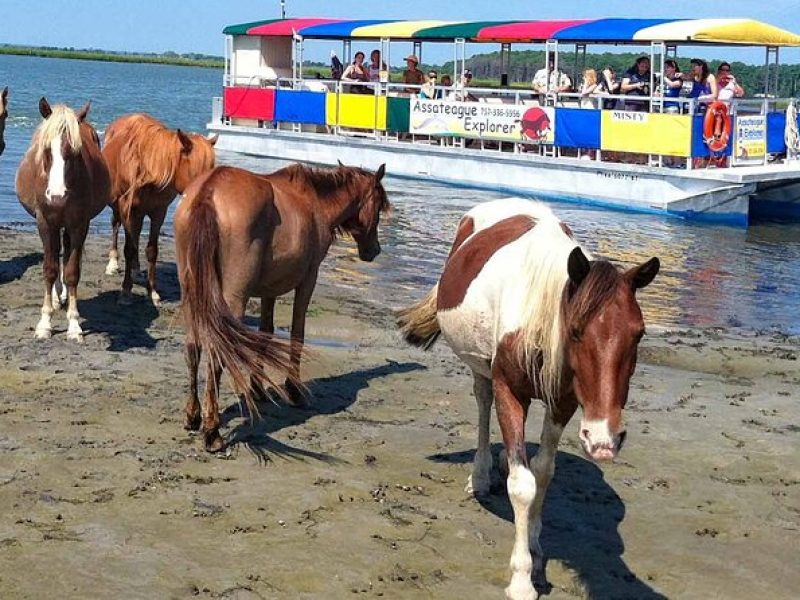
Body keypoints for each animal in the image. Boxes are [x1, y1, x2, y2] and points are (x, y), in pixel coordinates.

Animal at [15, 99, 111, 342]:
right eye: (46, 149)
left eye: (76, 151)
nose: (57, 196)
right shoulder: (45, 223)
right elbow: (49, 269)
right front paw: (44, 323)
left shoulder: (79, 224)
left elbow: (72, 271)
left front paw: (74, 324)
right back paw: (58, 298)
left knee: (66, 253)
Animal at [101, 114, 217, 304]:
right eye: (197, 173)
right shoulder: (128, 209)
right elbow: (129, 249)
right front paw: (125, 291)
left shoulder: (159, 212)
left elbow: (151, 250)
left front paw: (152, 291)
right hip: (121, 208)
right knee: (116, 226)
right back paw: (113, 263)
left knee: (136, 235)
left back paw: (136, 269)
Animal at [175, 162, 390, 452]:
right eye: (378, 206)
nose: (374, 250)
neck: (314, 202)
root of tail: (209, 190)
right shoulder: (308, 280)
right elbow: (297, 334)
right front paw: (295, 389)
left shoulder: (269, 290)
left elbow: (264, 337)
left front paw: (257, 389)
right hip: (233, 298)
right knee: (218, 353)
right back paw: (212, 432)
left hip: (192, 294)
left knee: (193, 348)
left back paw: (193, 416)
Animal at [396, 198, 660, 600]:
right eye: (576, 330)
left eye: (639, 333)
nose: (604, 439)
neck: (538, 315)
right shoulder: (510, 391)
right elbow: (522, 485)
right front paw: (521, 578)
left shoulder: (563, 402)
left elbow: (544, 471)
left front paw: (535, 546)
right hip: (481, 369)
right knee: (483, 403)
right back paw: (480, 475)